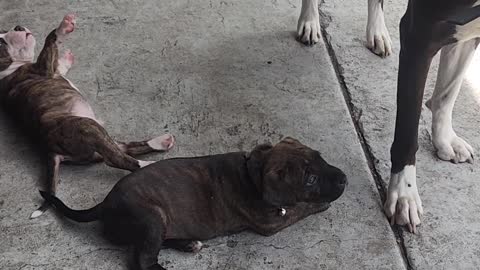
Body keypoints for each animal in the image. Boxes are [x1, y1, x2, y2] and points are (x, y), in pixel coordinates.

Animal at [0, 14, 176, 217]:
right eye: (0, 41)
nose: (18, 27)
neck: (9, 68)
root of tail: (51, 151)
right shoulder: (43, 68)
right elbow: (50, 41)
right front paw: (64, 26)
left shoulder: (50, 68)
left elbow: (57, 60)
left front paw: (66, 57)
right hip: (86, 126)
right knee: (119, 159)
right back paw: (154, 167)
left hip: (97, 138)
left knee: (125, 149)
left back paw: (162, 142)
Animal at [40, 138, 344, 270]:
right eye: (310, 179)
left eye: (320, 156)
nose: (345, 179)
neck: (252, 173)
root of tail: (104, 205)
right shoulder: (270, 223)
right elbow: (299, 209)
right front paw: (320, 205)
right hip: (153, 217)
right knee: (144, 259)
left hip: (159, 223)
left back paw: (188, 243)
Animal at [296, 0, 480, 232]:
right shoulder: (419, 36)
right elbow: (407, 134)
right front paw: (404, 194)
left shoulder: (469, 31)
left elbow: (447, 94)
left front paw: (445, 139)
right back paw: (309, 20)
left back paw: (377, 31)